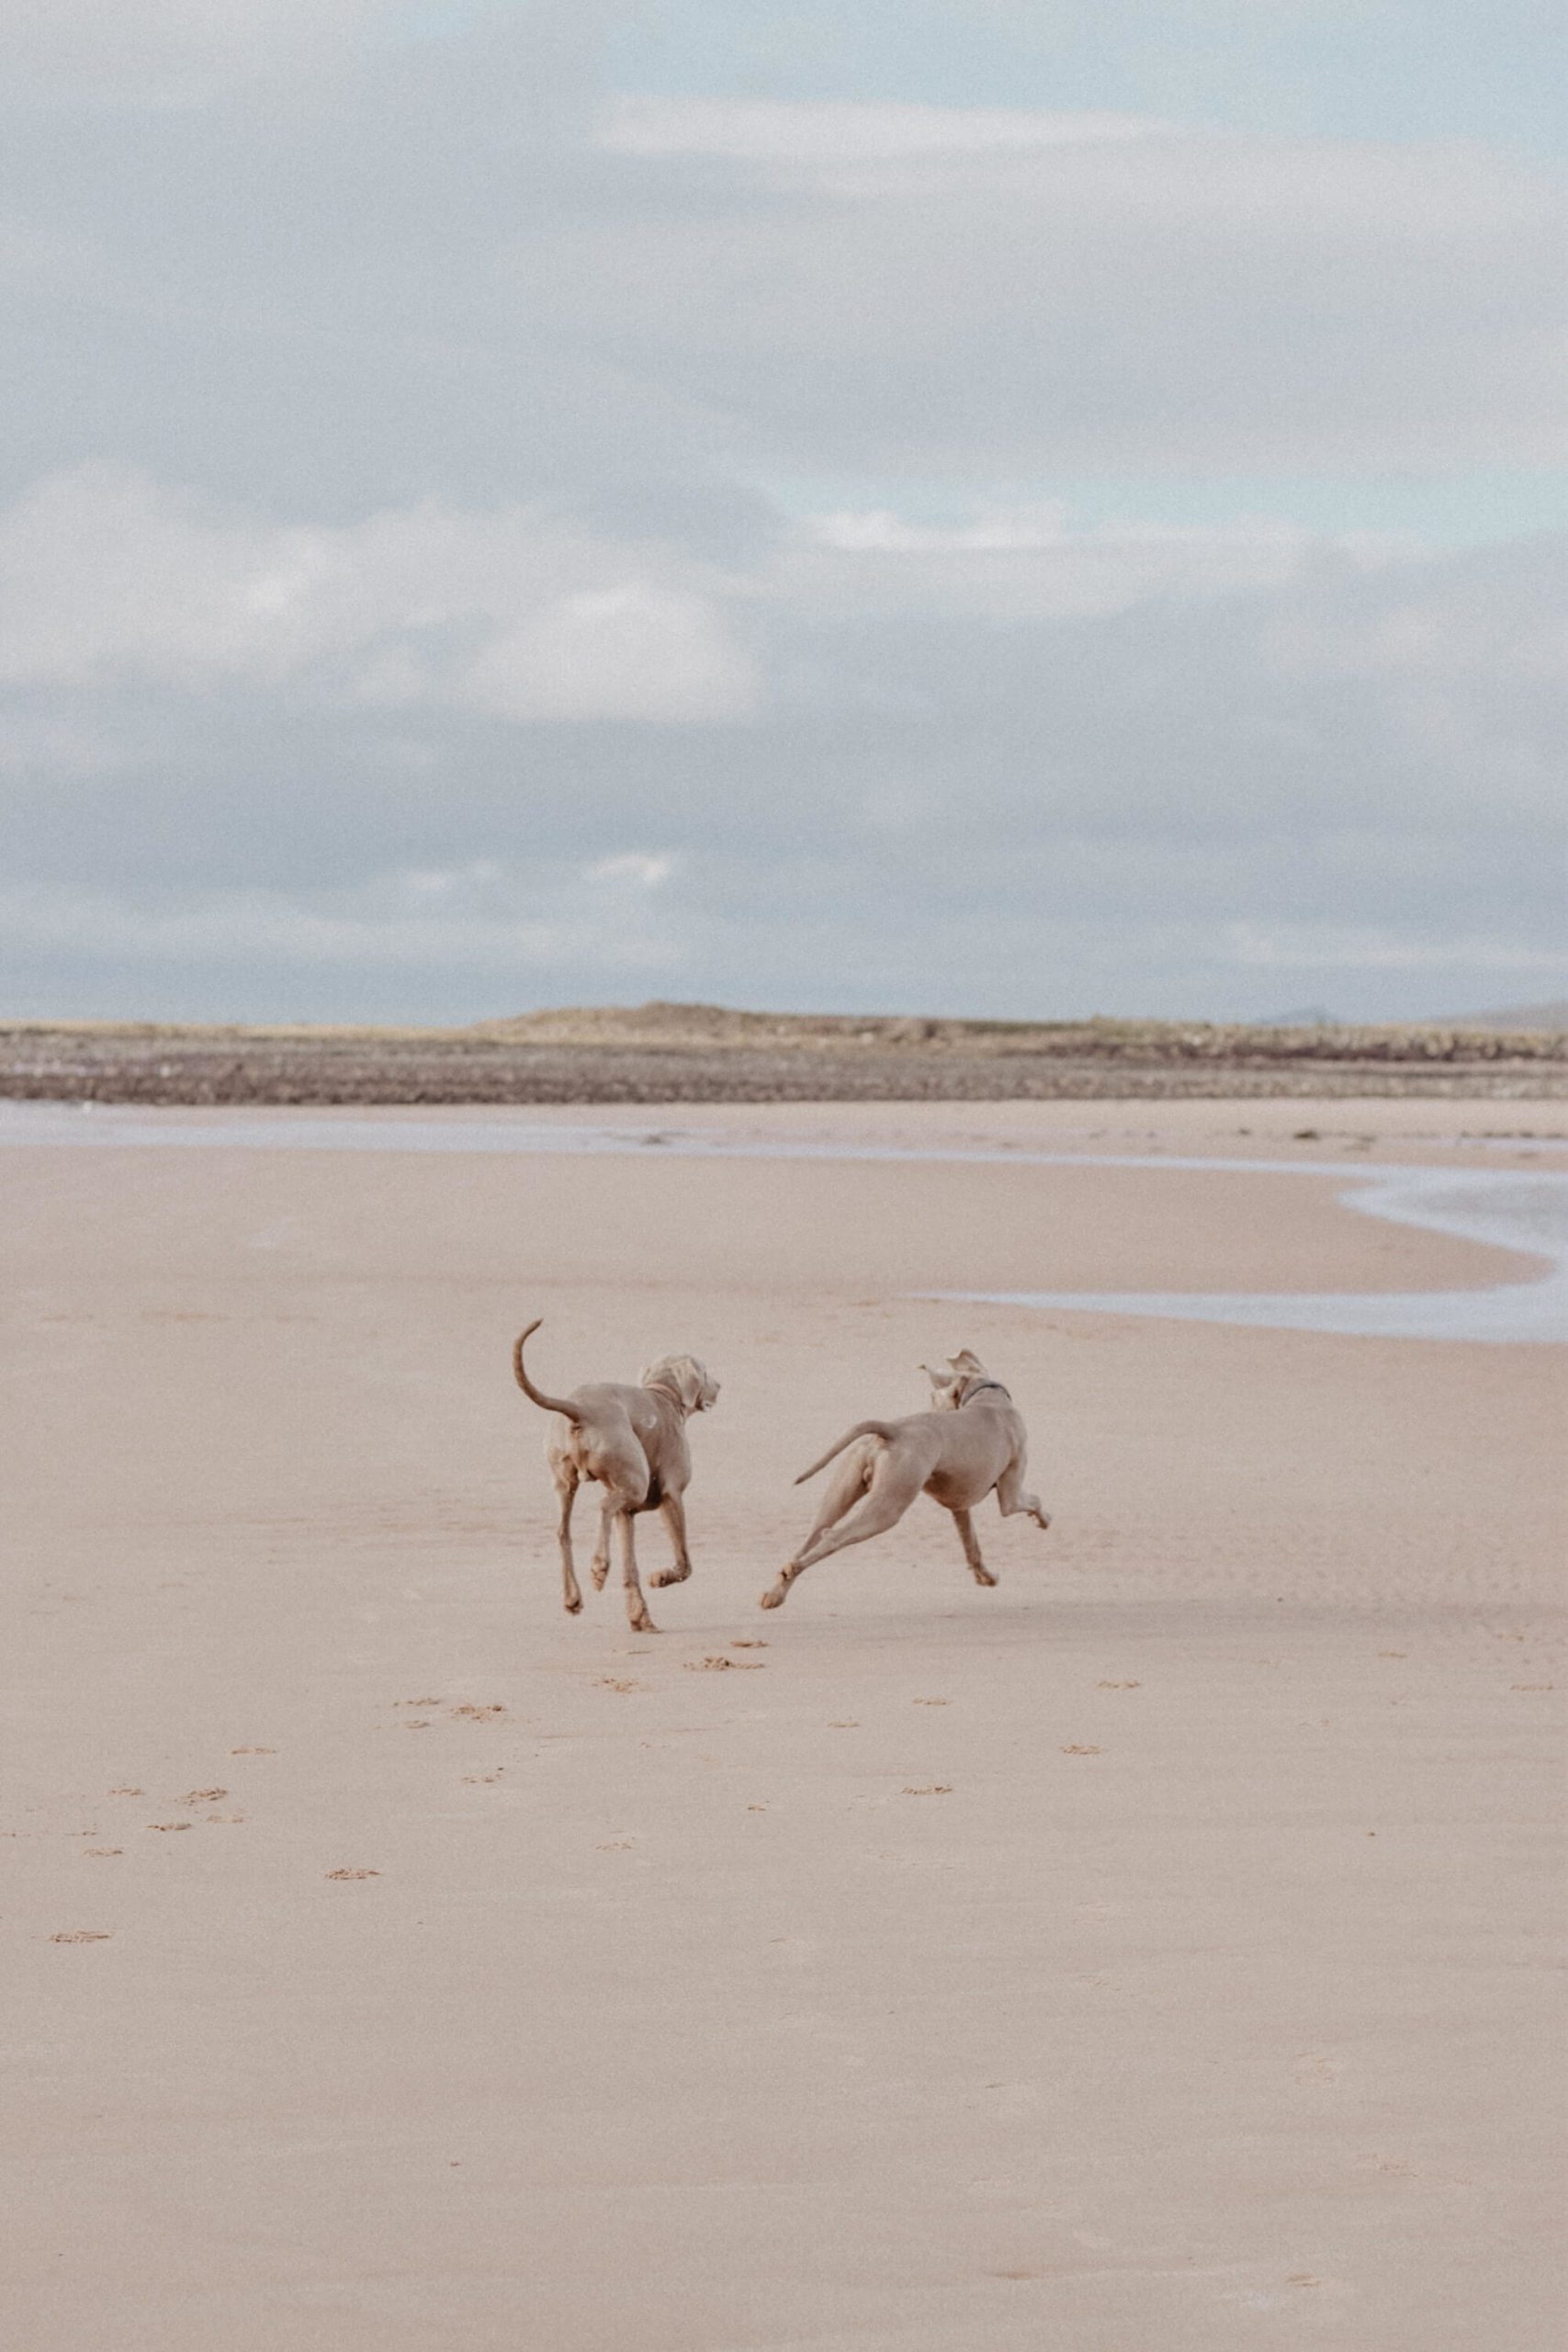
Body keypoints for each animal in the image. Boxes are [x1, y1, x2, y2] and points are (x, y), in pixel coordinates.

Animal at [761, 1354, 1053, 1609]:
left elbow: (972, 1548)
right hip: (888, 1506)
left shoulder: (959, 1507)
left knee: (812, 1535)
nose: (933, 1406)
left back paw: (775, 1593)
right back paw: (792, 1571)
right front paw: (1044, 1519)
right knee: (832, 1536)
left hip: (842, 1493)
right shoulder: (1010, 1496)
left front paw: (986, 1577)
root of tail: (893, 1430)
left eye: (933, 1396)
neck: (986, 1398)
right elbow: (1033, 1501)